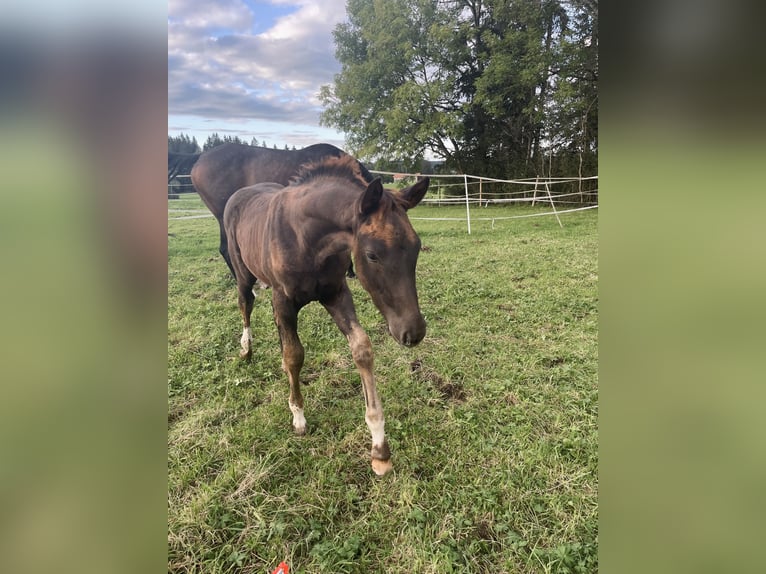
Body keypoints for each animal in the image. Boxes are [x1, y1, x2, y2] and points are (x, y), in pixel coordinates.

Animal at [224, 156, 432, 476]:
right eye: (372, 255)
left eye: (417, 247)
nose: (413, 331)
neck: (307, 239)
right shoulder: (283, 301)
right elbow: (294, 356)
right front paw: (298, 416)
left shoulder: (336, 294)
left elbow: (362, 349)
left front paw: (380, 449)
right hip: (243, 273)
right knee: (245, 304)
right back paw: (246, 349)